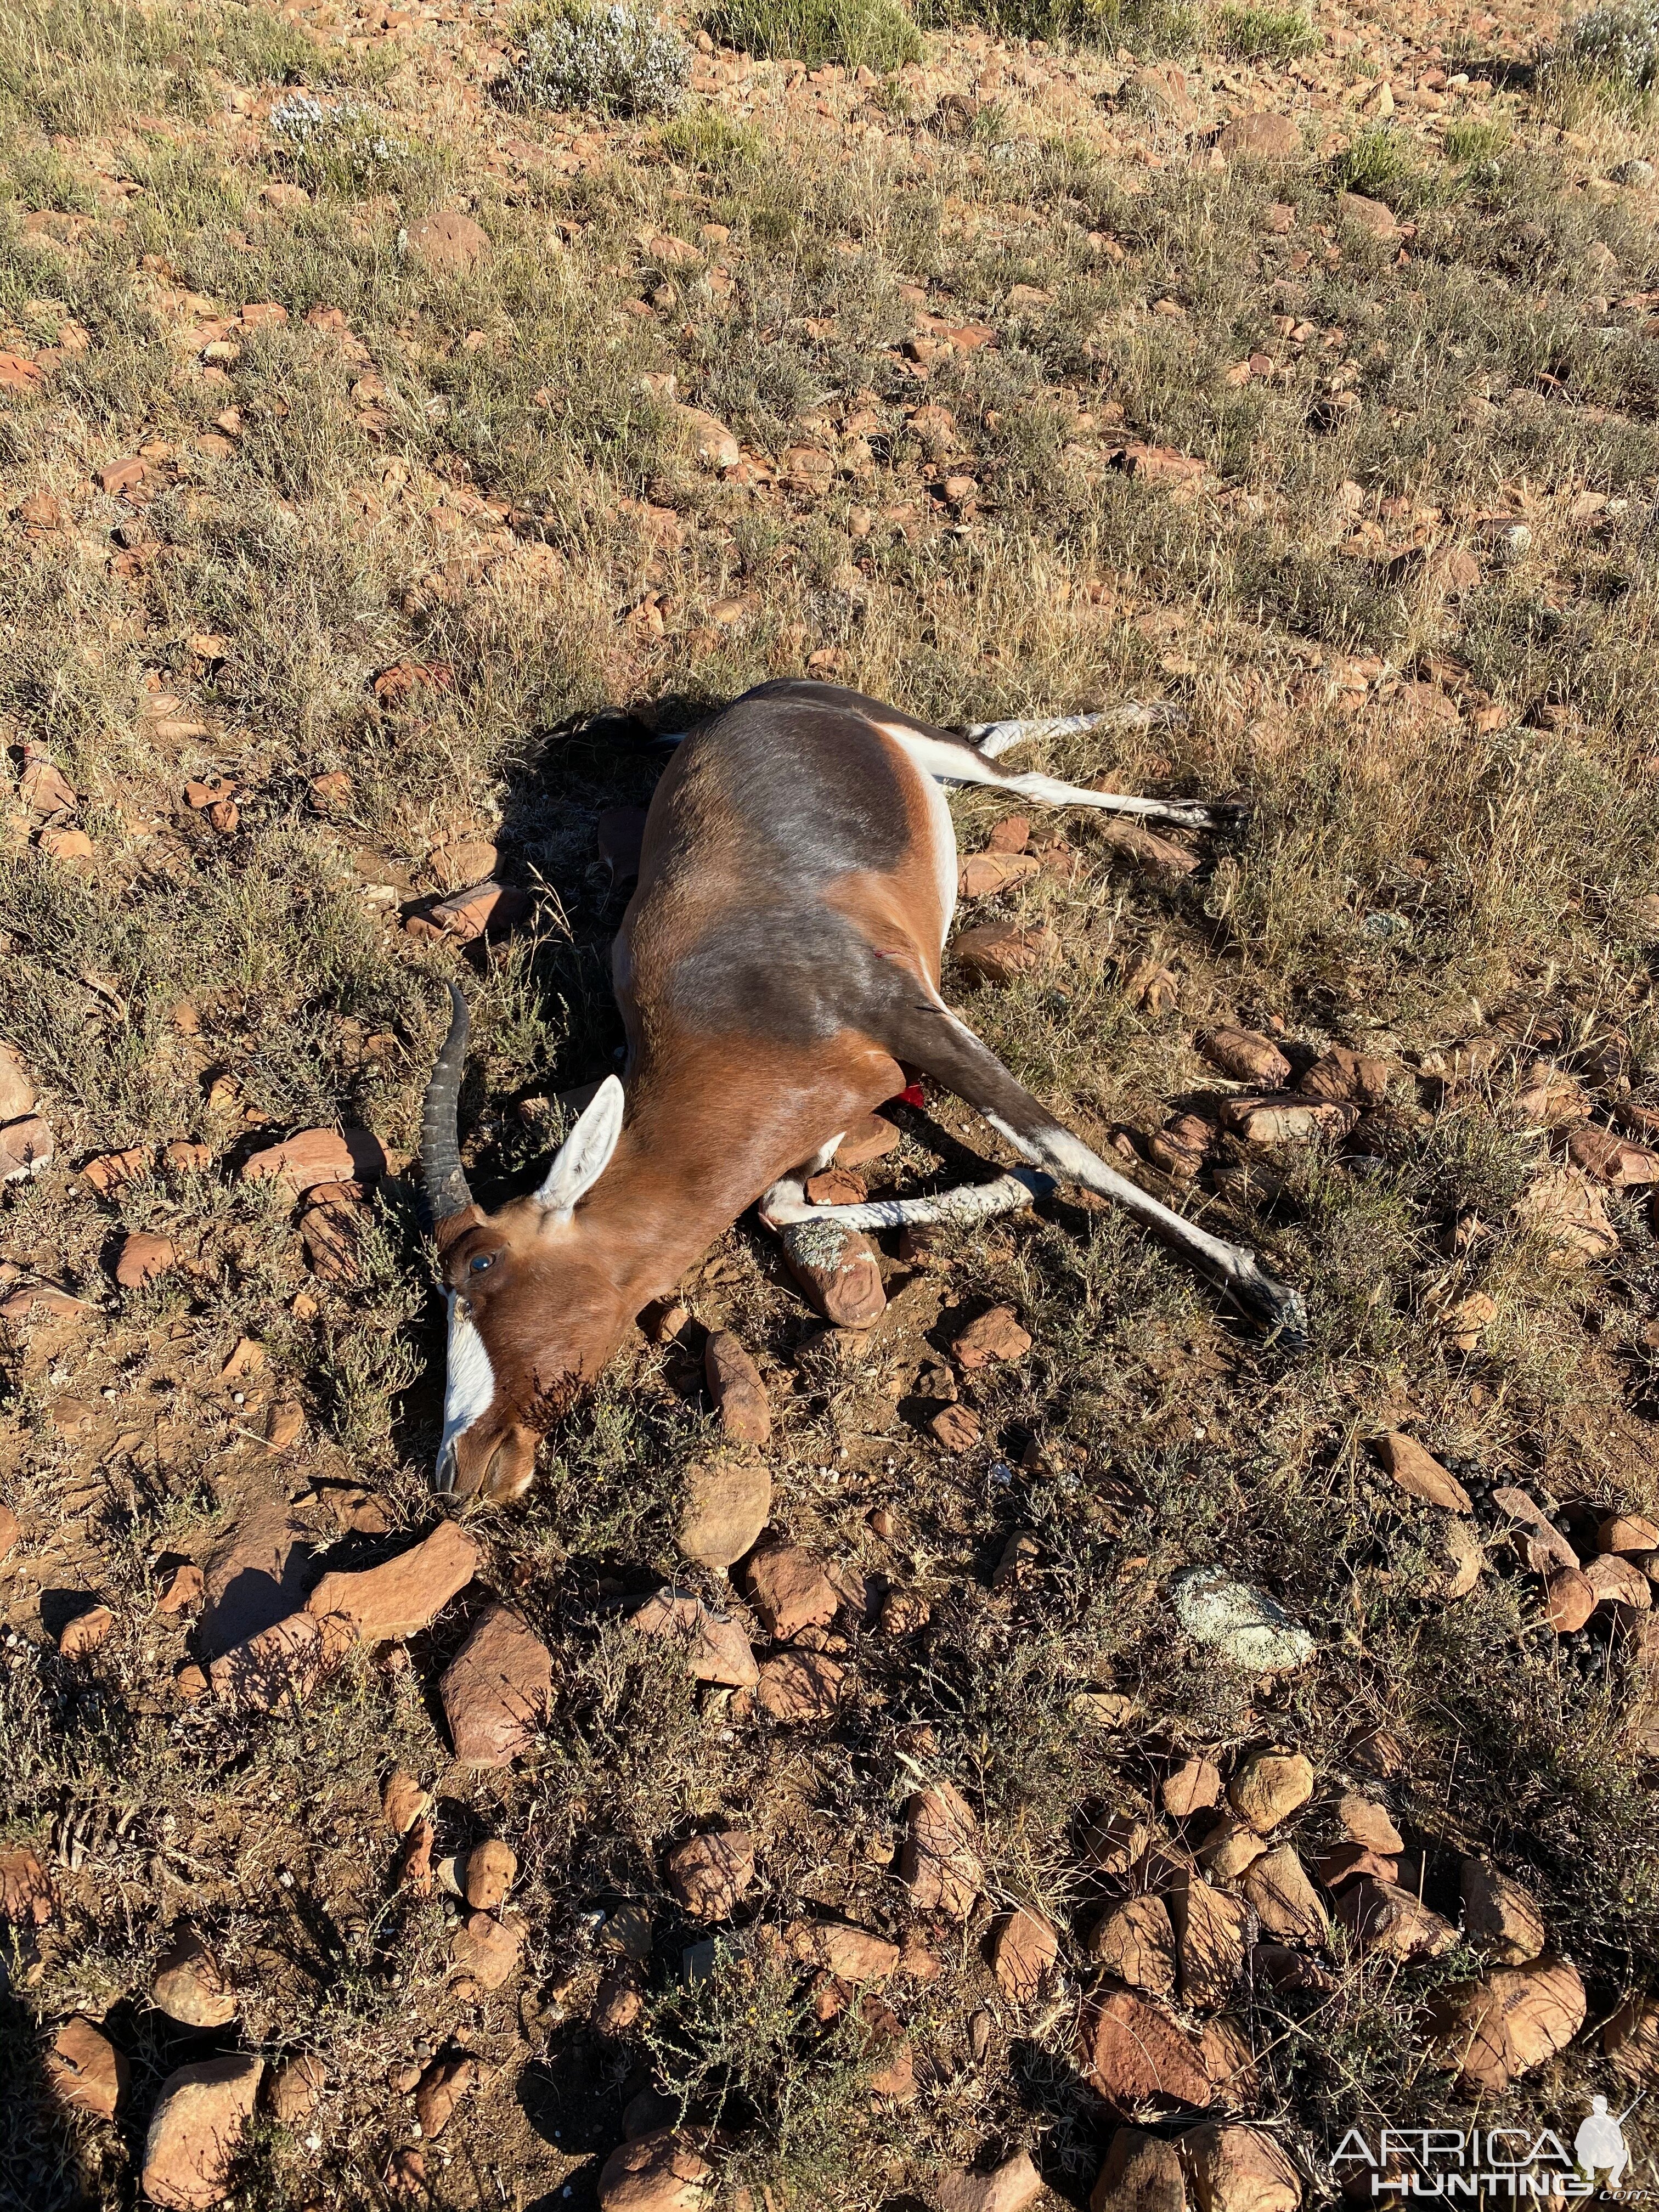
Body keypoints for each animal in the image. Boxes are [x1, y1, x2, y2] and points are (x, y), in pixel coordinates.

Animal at [422, 676, 1309, 1504]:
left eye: (482, 1265)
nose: (454, 1470)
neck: (722, 1007)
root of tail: (756, 700)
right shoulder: (816, 1126)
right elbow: (786, 1212)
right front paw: (1015, 1185)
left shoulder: (910, 1019)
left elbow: (1066, 1146)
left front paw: (1269, 1292)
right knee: (994, 742)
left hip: (920, 748)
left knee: (1022, 775)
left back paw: (1207, 794)